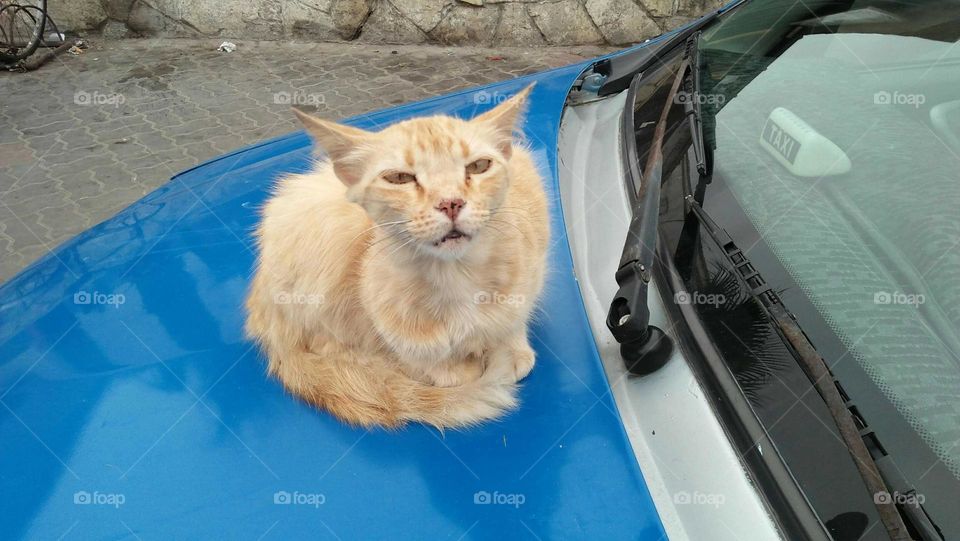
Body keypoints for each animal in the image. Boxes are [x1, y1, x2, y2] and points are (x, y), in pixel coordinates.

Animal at [244, 84, 552, 428]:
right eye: (400, 178)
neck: (455, 274)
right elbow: (413, 351)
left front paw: (510, 350)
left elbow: (514, 318)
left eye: (478, 166)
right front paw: (450, 371)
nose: (451, 202)